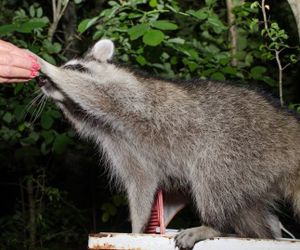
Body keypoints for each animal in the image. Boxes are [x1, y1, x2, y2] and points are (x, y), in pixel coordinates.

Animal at [34, 40, 300, 249]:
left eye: (74, 67)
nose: (41, 80)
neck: (90, 117)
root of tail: (287, 127)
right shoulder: (117, 141)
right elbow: (140, 180)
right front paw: (138, 228)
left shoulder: (129, 96)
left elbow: (93, 92)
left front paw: (49, 67)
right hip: (252, 172)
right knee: (246, 209)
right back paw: (260, 233)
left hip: (239, 147)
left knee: (211, 175)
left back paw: (214, 225)